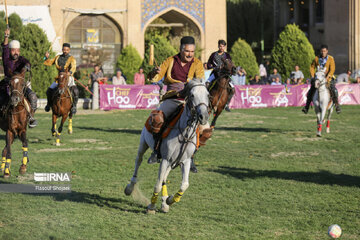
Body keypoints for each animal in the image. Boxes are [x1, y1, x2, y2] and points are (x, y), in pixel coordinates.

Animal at [124, 79, 210, 214]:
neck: (184, 133)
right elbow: (158, 184)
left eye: (207, 95)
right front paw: (151, 207)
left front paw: (170, 200)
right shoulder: (165, 159)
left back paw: (164, 202)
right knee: (138, 161)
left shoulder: (185, 161)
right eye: (192, 95)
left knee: (165, 177)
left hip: (171, 162)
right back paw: (130, 188)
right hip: (143, 144)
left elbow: (184, 184)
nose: (204, 116)